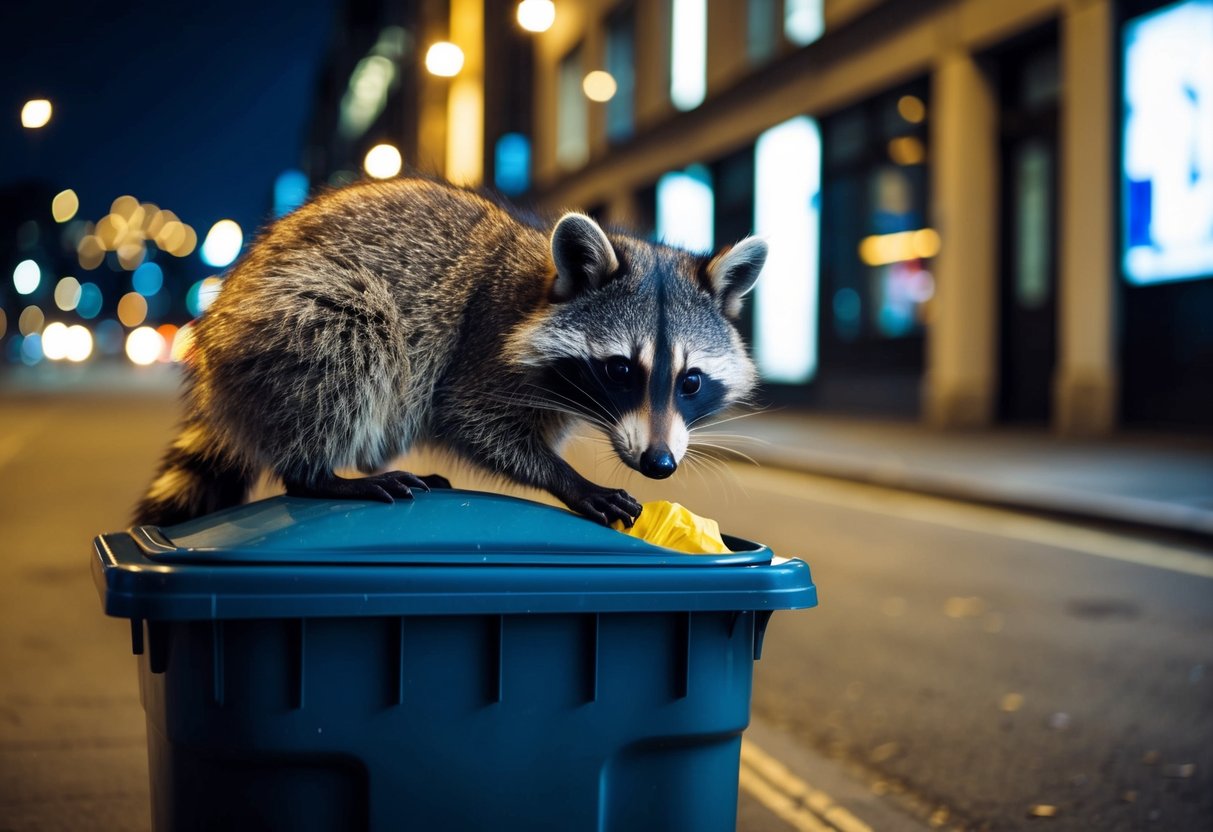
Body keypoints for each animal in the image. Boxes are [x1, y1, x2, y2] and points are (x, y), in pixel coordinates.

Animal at [135, 176, 766, 528]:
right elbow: (469, 418)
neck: (544, 286)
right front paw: (566, 478)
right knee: (351, 329)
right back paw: (318, 474)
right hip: (294, 319)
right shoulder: (481, 342)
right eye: (620, 370)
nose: (660, 465)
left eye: (690, 381)